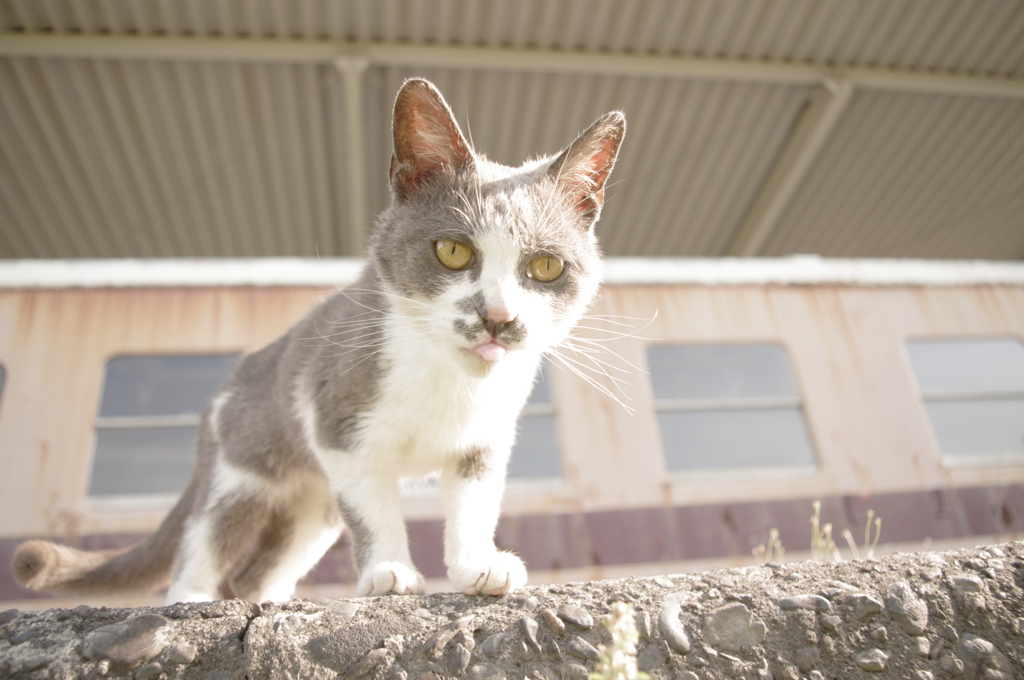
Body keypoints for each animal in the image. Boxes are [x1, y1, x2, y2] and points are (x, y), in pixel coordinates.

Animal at [12, 76, 622, 602]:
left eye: (546, 267)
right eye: (453, 251)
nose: (498, 316)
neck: (449, 381)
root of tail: (231, 381)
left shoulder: (483, 443)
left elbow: (475, 505)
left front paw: (479, 564)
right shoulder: (341, 428)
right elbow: (374, 511)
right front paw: (390, 571)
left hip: (314, 508)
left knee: (258, 570)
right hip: (243, 473)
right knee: (205, 544)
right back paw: (189, 603)